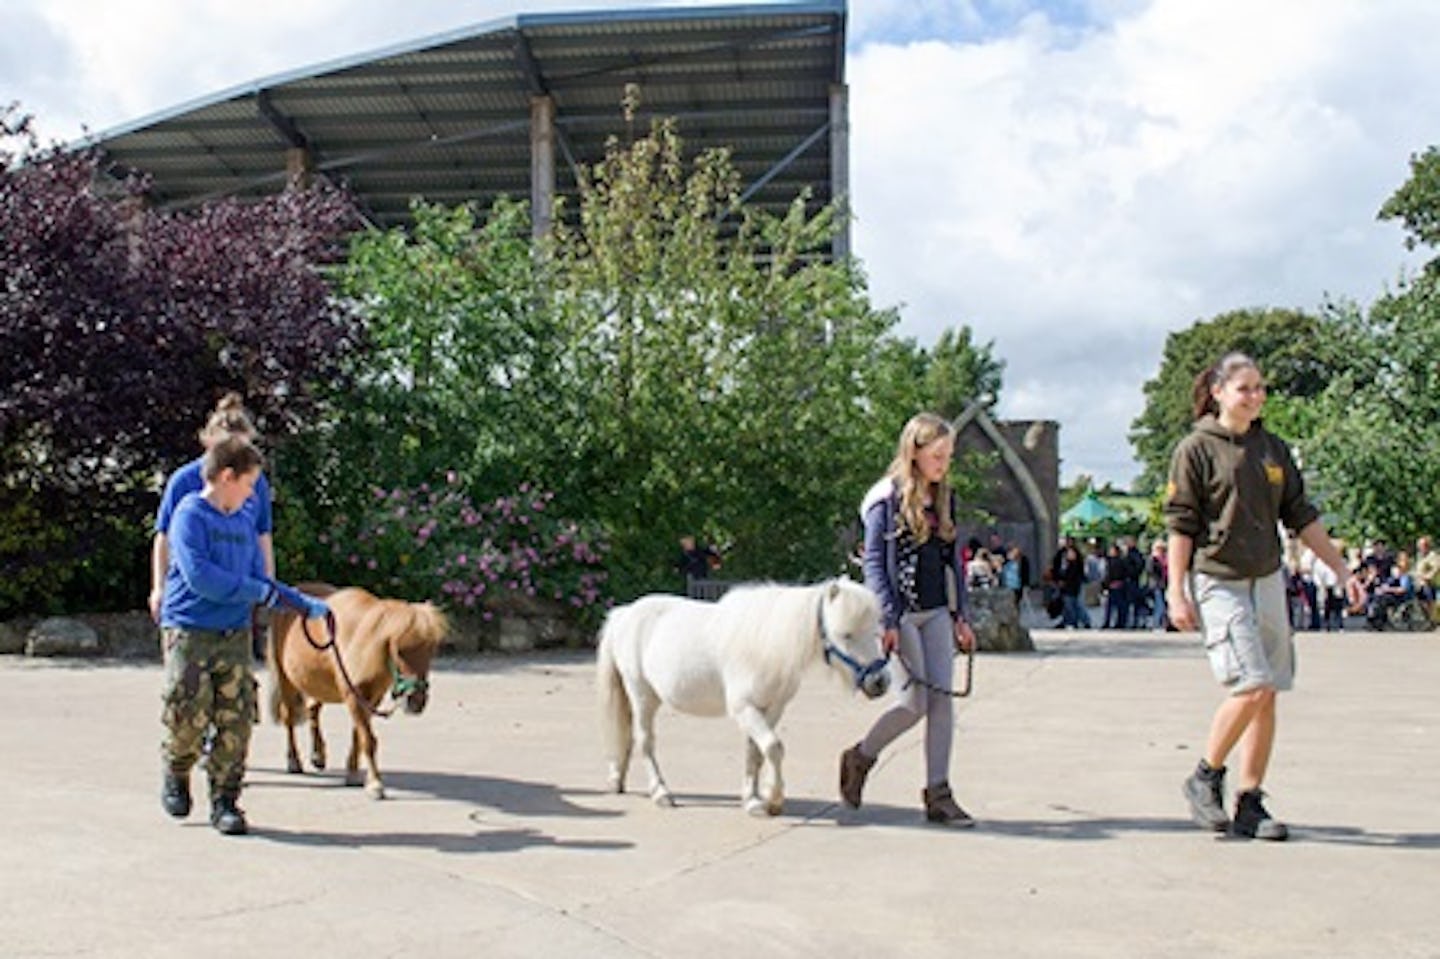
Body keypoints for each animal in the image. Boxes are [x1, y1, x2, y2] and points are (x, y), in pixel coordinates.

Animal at [267, 581, 446, 800]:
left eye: (431, 649)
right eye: (399, 650)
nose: (416, 701)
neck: (358, 639)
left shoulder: (370, 700)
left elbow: (358, 737)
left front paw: (352, 773)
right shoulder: (354, 697)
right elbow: (367, 740)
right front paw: (375, 784)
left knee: (313, 710)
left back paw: (318, 755)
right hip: (285, 679)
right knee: (289, 718)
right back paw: (294, 760)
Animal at [596, 575, 887, 812]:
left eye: (875, 630)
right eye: (846, 634)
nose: (879, 682)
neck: (766, 645)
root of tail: (625, 613)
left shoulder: (771, 708)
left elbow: (755, 752)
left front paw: (752, 799)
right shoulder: (744, 708)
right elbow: (773, 747)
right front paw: (773, 800)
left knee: (629, 738)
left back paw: (618, 779)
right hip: (642, 695)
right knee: (645, 741)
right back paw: (661, 793)